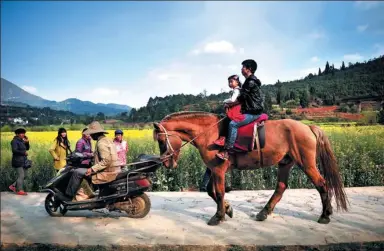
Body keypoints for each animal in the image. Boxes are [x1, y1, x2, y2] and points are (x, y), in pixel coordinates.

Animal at [152, 111, 348, 226]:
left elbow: (219, 192)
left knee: (322, 184)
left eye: (161, 141)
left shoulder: (218, 169)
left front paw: (219, 216)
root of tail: (308, 127)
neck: (209, 133)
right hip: (285, 162)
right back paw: (264, 212)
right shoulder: (213, 169)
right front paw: (228, 209)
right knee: (281, 187)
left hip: (306, 163)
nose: (166, 163)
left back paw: (325, 215)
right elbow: (210, 191)